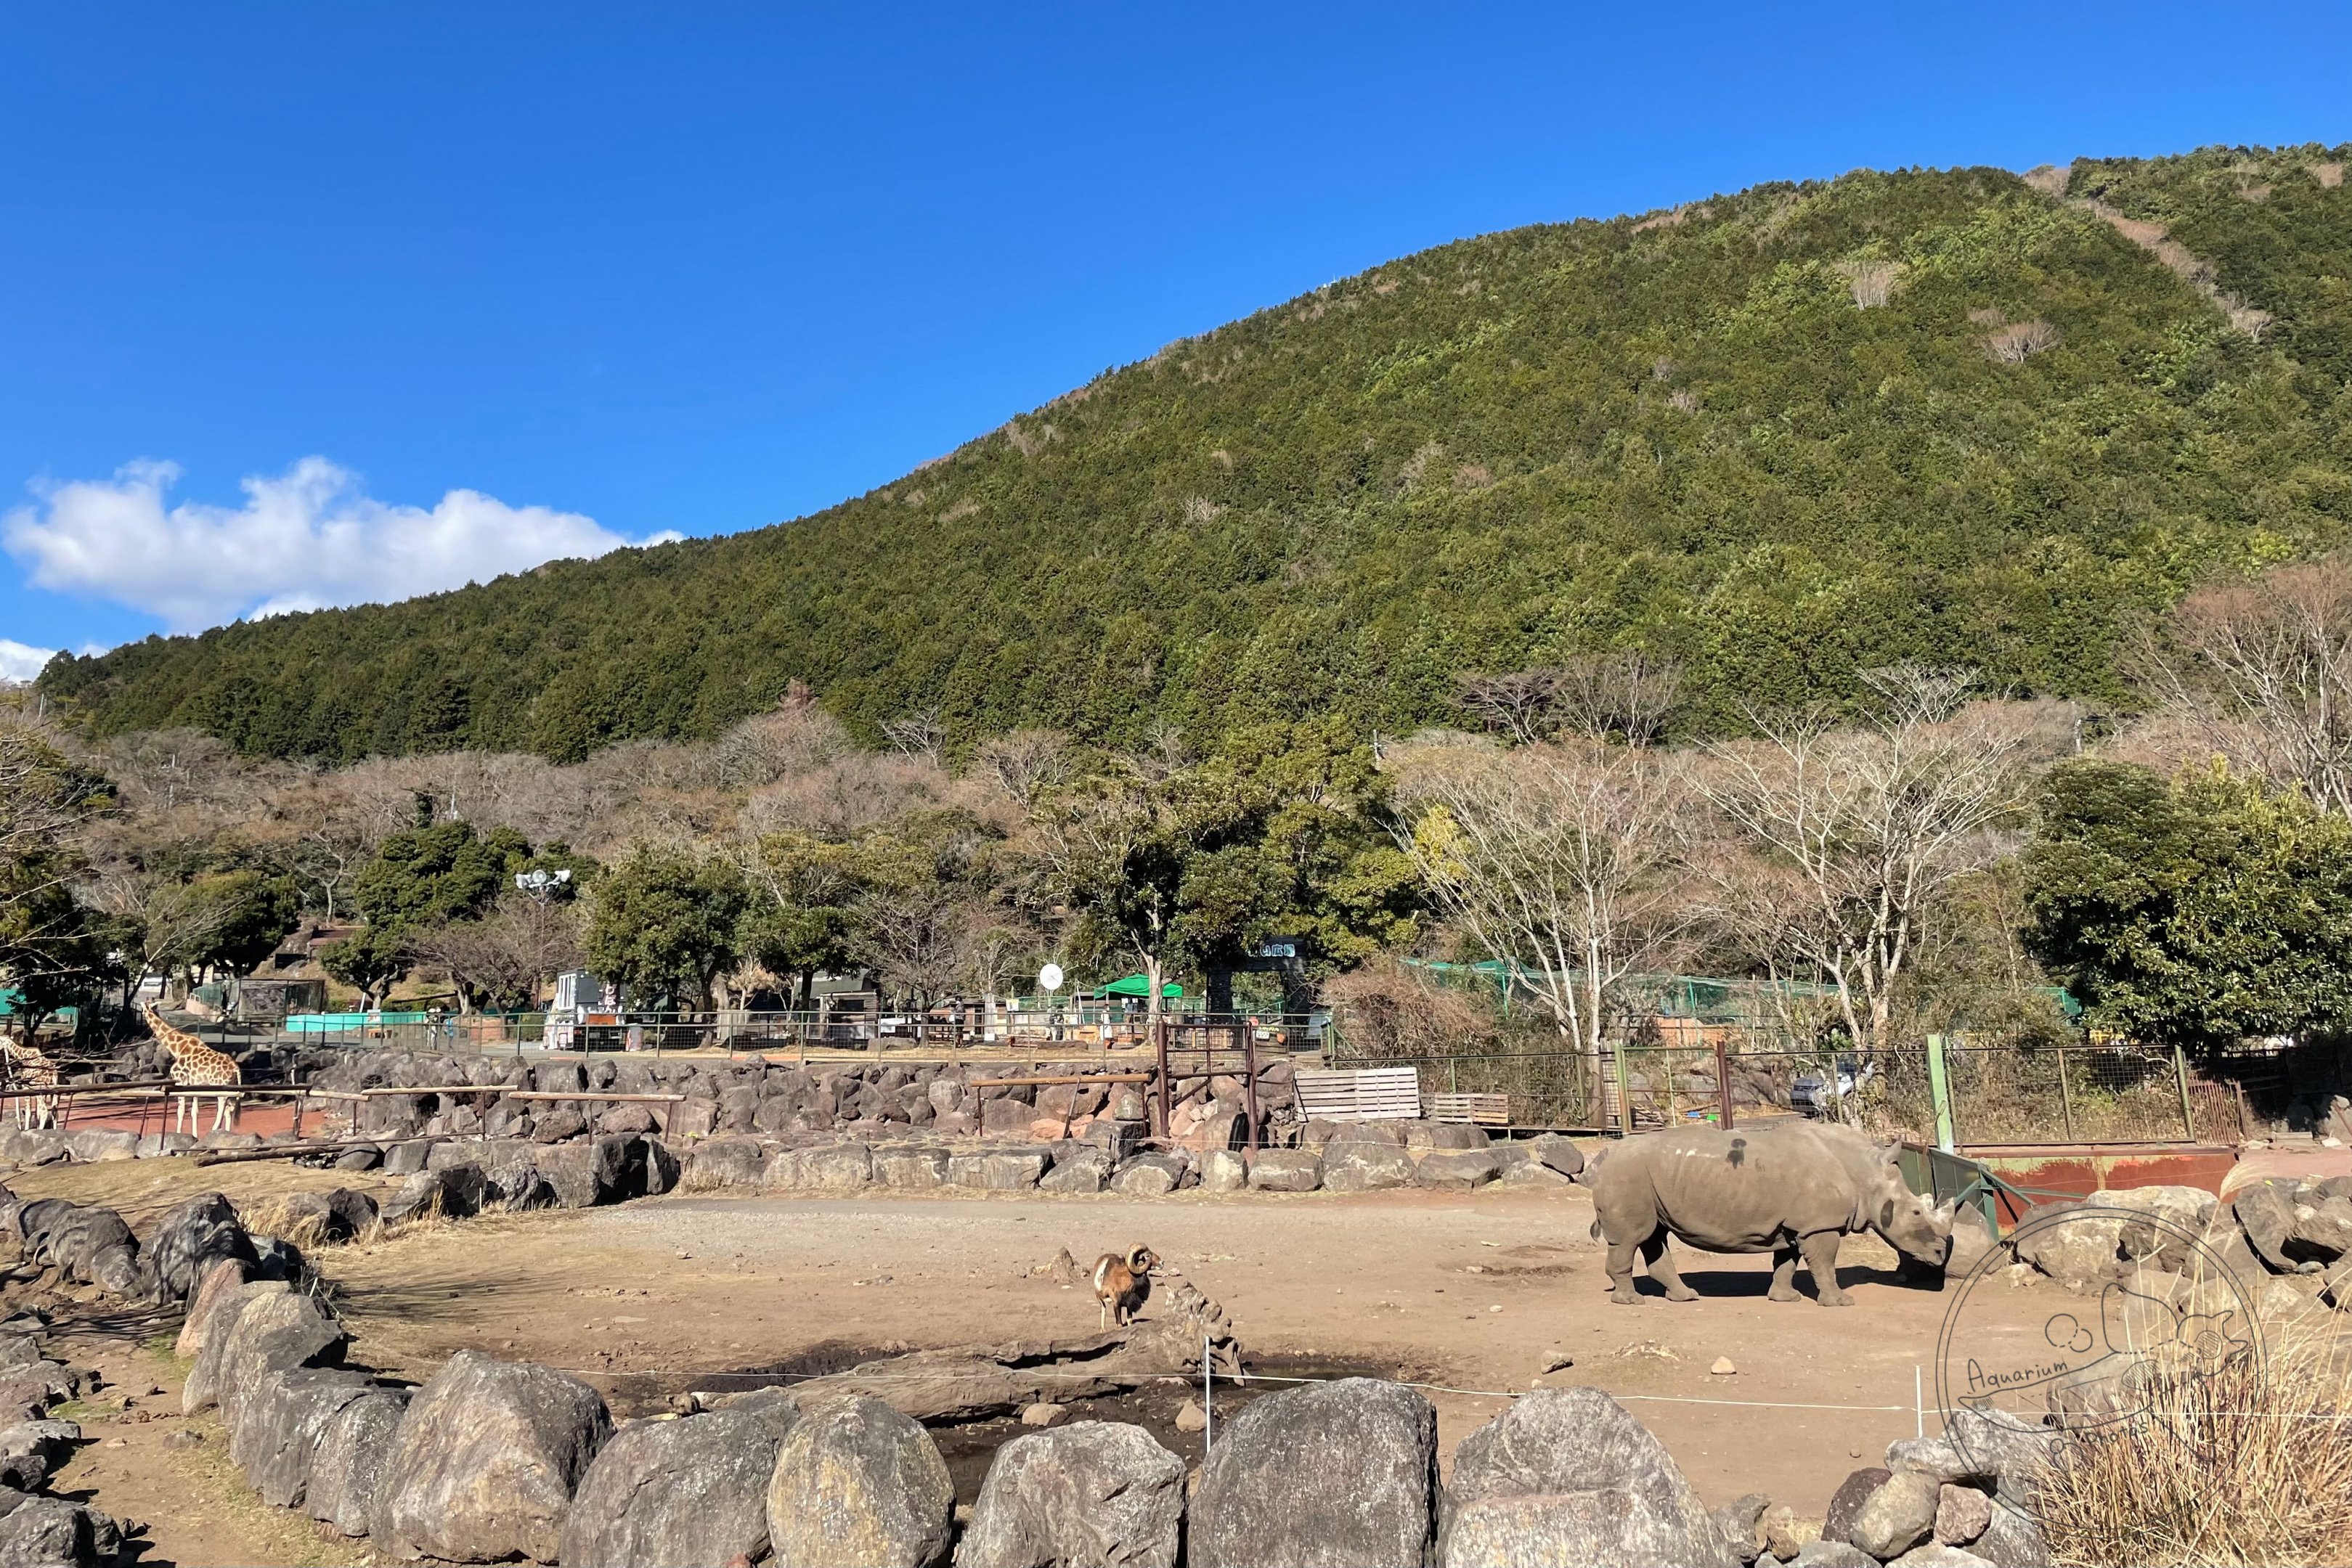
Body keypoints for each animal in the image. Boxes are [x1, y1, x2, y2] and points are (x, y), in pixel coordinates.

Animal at [1583, 1120, 1955, 1306]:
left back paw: (1685, 1298)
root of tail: (1605, 1155)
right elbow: (1825, 1263)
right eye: (1916, 1212)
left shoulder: (1795, 1225)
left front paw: (1784, 1298)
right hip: (1628, 1175)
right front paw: (1840, 1302)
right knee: (1631, 1239)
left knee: (1654, 1236)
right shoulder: (1819, 1224)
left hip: (1646, 1180)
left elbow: (1786, 1262)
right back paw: (1631, 1302)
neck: (1865, 1172)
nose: (1940, 1255)